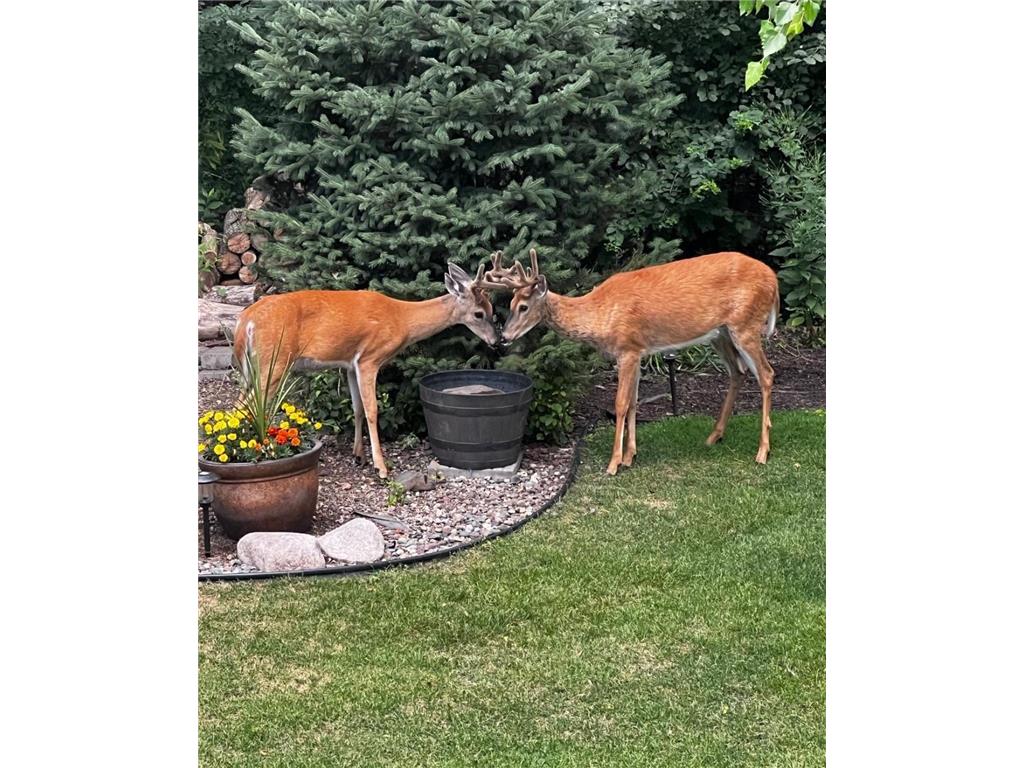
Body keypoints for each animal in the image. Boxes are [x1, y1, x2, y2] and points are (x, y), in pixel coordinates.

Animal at [233, 260, 507, 479]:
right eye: (479, 313)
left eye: (493, 310)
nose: (497, 341)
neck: (402, 319)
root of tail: (245, 322)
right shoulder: (370, 358)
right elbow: (372, 410)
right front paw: (381, 467)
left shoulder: (350, 364)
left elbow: (356, 408)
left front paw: (359, 456)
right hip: (273, 362)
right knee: (245, 406)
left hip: (252, 368)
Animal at [486, 248, 780, 475]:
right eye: (509, 304)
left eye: (523, 307)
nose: (503, 338)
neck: (599, 314)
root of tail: (774, 280)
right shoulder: (637, 352)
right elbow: (634, 402)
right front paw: (630, 456)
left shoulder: (627, 348)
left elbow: (620, 403)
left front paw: (614, 463)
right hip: (720, 333)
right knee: (738, 372)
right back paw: (714, 436)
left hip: (746, 324)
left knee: (766, 373)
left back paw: (762, 451)